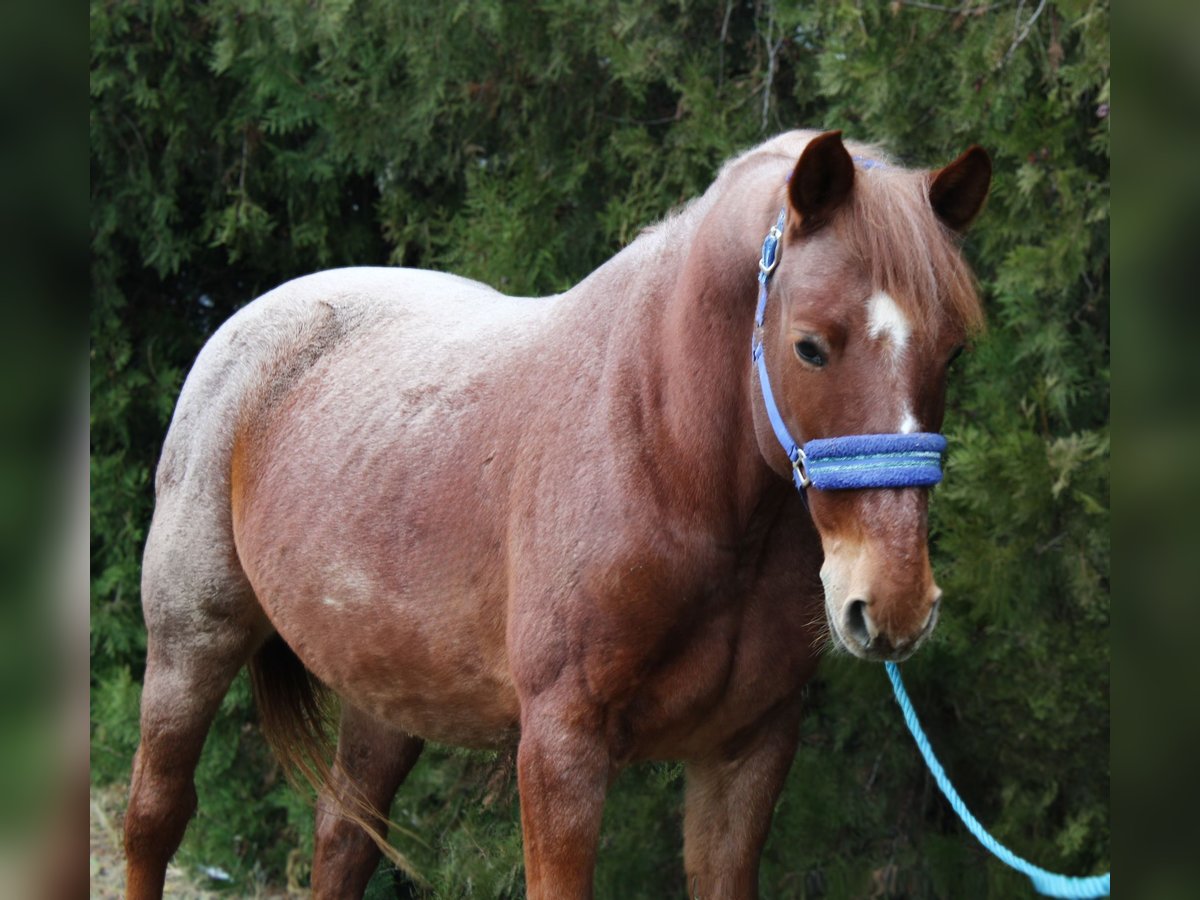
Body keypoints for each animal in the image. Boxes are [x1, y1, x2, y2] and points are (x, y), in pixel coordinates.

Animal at [123, 129, 990, 899]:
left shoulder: (747, 750)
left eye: (952, 352)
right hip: (190, 643)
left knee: (342, 837)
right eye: (810, 346)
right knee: (155, 819)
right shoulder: (561, 749)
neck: (666, 461)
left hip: (385, 692)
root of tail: (250, 325)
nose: (894, 604)